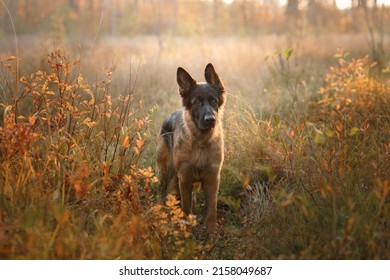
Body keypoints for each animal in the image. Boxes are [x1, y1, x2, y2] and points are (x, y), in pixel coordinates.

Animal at [157, 64, 225, 234]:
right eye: (197, 101)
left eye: (213, 101)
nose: (210, 120)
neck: (200, 142)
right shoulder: (185, 178)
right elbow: (186, 208)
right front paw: (185, 231)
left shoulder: (212, 179)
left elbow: (211, 211)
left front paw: (212, 234)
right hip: (166, 171)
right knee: (161, 190)